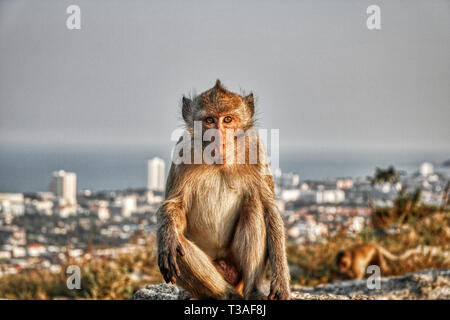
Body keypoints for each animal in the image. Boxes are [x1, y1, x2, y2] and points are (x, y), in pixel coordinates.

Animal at [156, 80, 290, 300]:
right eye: (209, 120)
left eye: (227, 119)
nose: (218, 136)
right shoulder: (183, 151)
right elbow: (174, 206)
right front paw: (167, 236)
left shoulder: (255, 149)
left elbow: (269, 209)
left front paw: (281, 284)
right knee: (179, 246)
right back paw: (225, 294)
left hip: (237, 271)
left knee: (254, 206)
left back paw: (253, 291)